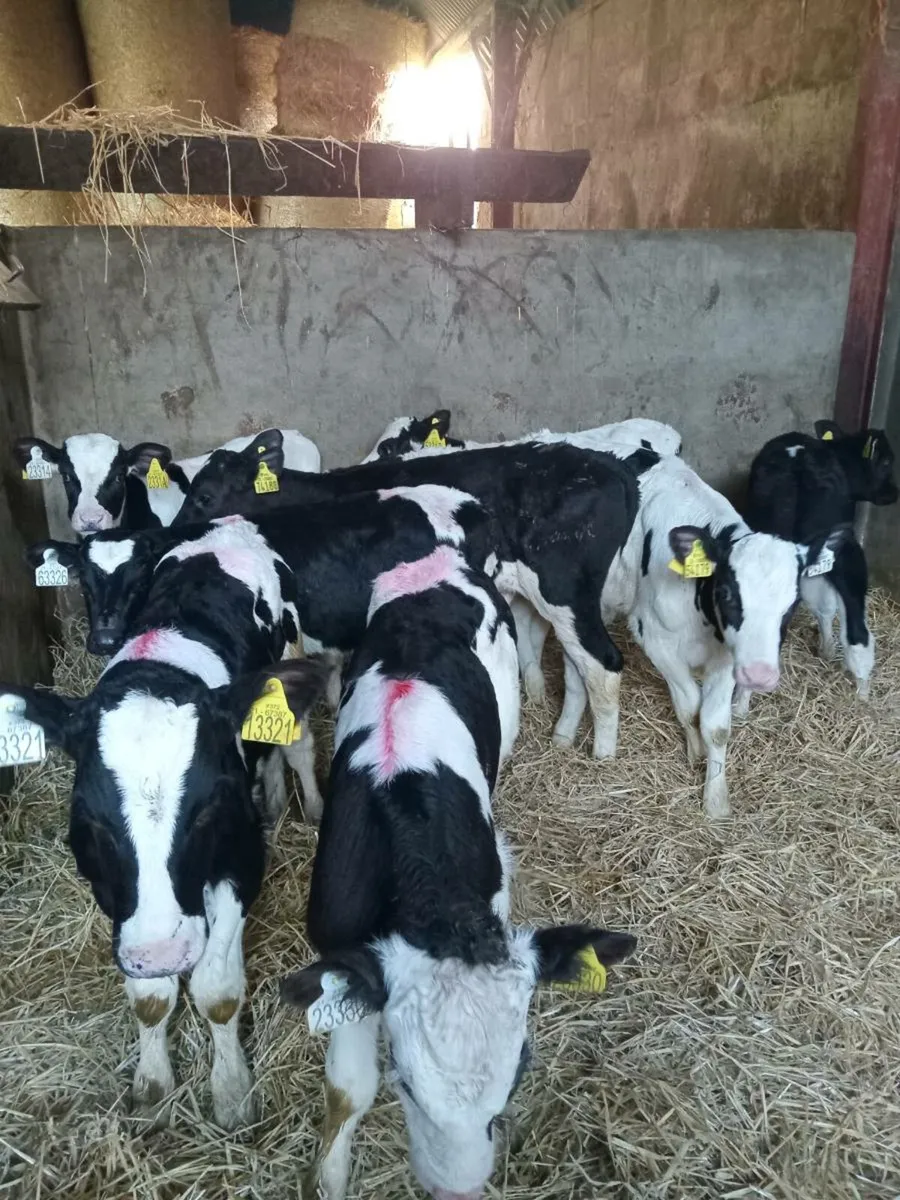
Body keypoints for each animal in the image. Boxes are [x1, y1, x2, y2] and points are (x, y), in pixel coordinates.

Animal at [1, 519, 328, 1127]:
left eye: (208, 809)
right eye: (91, 822)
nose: (161, 955)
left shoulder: (239, 861)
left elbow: (217, 989)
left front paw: (232, 1092)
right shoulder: (114, 893)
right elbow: (150, 998)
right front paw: (152, 1087)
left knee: (295, 746)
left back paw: (311, 806)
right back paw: (273, 801)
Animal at [173, 428, 656, 759]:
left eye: (204, 496)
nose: (169, 532)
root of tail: (609, 465)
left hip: (562, 589)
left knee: (603, 663)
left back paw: (602, 754)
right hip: (570, 603)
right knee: (579, 666)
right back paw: (563, 736)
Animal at [279, 545, 636, 1200]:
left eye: (519, 1073)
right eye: (405, 1081)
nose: (458, 1186)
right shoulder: (343, 957)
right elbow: (348, 1090)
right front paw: (332, 1175)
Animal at [746, 419, 898, 698]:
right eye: (886, 462)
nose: (894, 493)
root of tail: (801, 470)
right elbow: (826, 607)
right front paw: (827, 649)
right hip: (850, 555)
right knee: (858, 632)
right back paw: (862, 695)